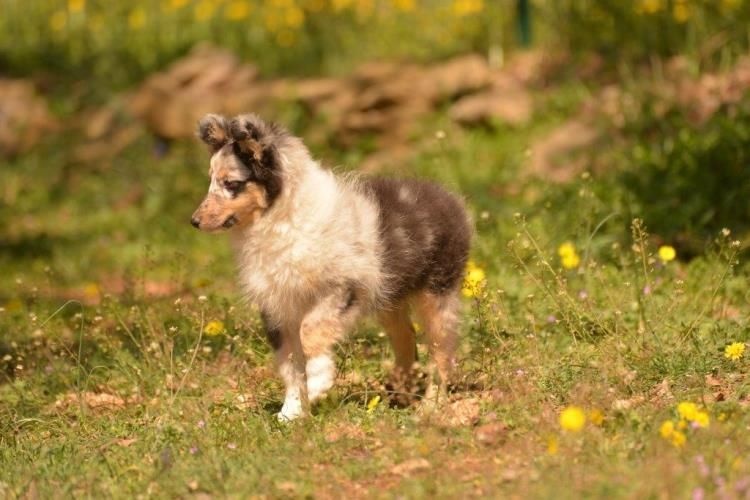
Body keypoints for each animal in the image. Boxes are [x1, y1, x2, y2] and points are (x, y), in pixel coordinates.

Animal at [191, 114, 472, 422]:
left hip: (437, 295)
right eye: (211, 180)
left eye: (231, 183)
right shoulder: (278, 307)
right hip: (388, 296)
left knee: (441, 353)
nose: (194, 221)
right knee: (406, 336)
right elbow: (290, 363)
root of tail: (451, 199)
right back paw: (402, 393)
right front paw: (291, 410)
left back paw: (430, 406)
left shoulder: (341, 288)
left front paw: (318, 383)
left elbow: (311, 332)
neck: (281, 218)